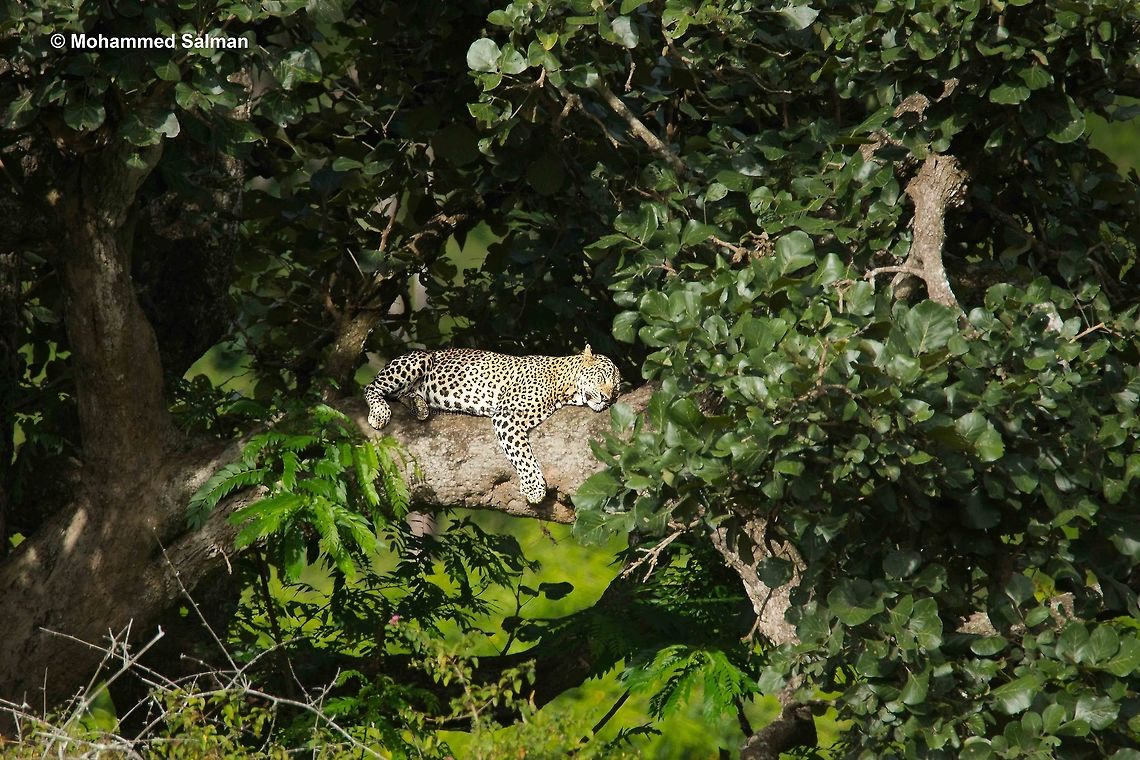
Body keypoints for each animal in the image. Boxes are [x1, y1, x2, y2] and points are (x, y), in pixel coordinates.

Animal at [364, 345, 621, 504]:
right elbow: (522, 454)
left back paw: (418, 405)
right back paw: (380, 413)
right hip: (417, 360)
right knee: (372, 387)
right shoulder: (507, 415)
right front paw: (535, 488)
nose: (608, 398)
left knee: (401, 394)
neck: (565, 386)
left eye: (617, 389)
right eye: (602, 377)